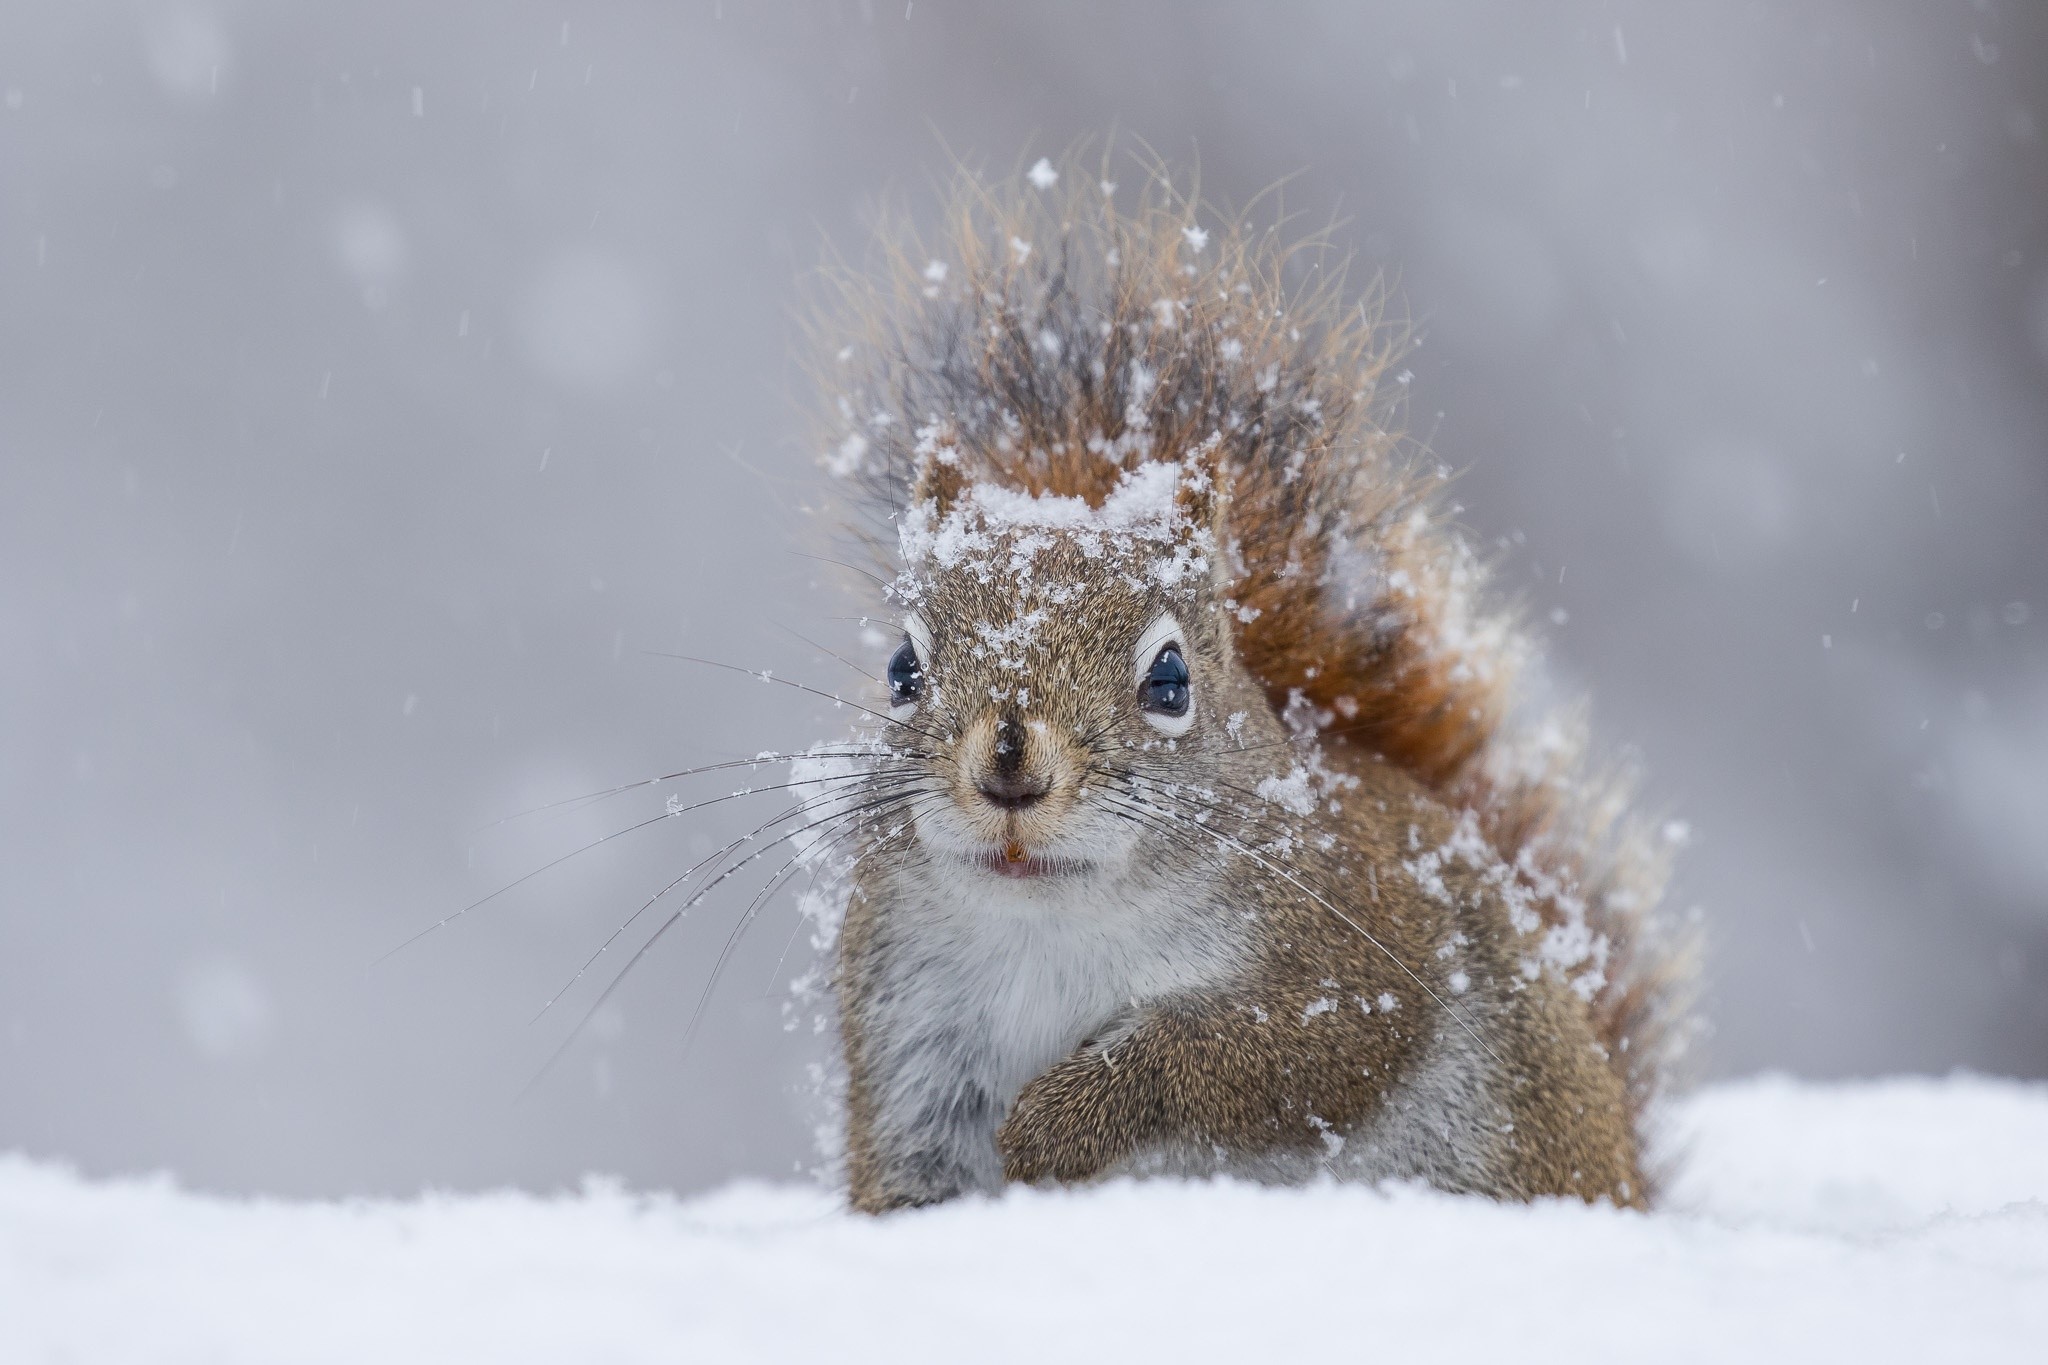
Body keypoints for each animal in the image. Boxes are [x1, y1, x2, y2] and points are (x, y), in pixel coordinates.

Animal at [799, 155, 1696, 1215]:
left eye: (1171, 679)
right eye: (903, 670)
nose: (1010, 763)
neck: (1050, 924)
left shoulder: (1359, 953)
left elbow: (1246, 1059)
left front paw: (1058, 1123)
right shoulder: (910, 1035)